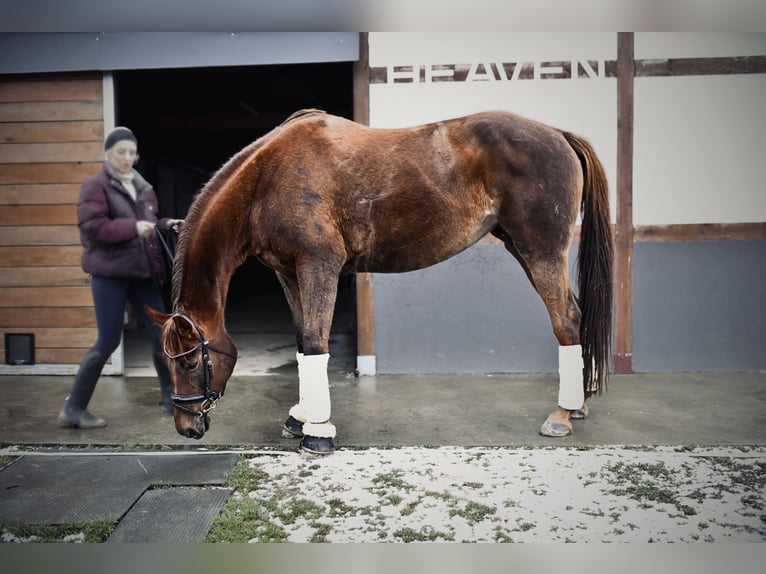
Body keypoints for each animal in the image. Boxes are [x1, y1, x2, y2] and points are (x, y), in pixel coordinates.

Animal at [147, 108, 613, 456]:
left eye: (189, 362)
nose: (186, 426)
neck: (268, 178)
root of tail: (558, 134)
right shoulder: (289, 273)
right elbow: (301, 341)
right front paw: (301, 417)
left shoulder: (318, 266)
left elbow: (315, 343)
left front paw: (319, 432)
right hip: (521, 248)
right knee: (574, 315)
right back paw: (579, 404)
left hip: (540, 251)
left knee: (566, 320)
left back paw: (561, 415)